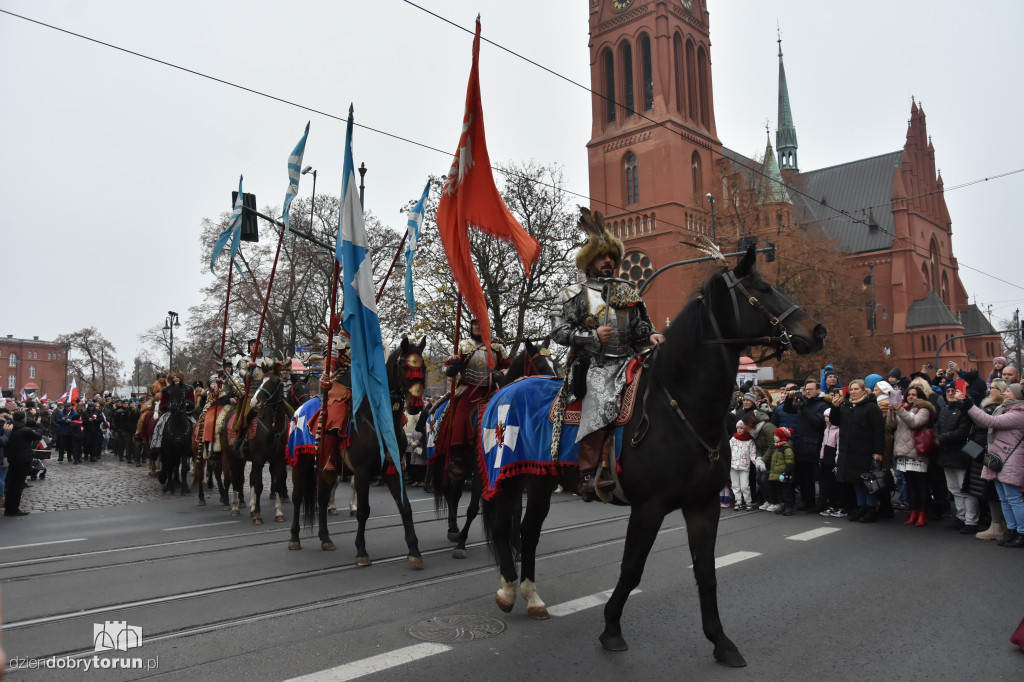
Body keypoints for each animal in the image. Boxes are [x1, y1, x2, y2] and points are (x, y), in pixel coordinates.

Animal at [286, 333, 425, 569]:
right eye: (406, 367)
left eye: (422, 366)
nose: (416, 405)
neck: (380, 420)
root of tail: (299, 410)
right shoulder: (362, 472)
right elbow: (363, 511)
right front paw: (361, 551)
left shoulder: (393, 469)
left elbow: (405, 508)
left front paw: (414, 551)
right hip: (300, 462)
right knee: (297, 497)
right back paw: (294, 538)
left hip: (325, 468)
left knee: (322, 498)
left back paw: (325, 539)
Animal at [432, 339, 561, 557]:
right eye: (541, 366)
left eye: (555, 364)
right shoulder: (479, 469)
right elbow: (473, 508)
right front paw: (461, 545)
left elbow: (516, 510)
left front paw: (517, 545)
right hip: (449, 462)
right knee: (451, 492)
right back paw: (454, 531)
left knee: (454, 493)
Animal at [479, 244, 823, 663]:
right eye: (762, 288)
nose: (816, 331)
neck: (679, 407)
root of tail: (505, 390)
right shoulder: (649, 508)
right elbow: (631, 569)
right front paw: (611, 629)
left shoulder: (703, 505)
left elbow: (706, 572)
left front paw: (721, 642)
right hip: (508, 478)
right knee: (502, 526)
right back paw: (508, 591)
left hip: (541, 480)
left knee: (528, 532)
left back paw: (533, 597)